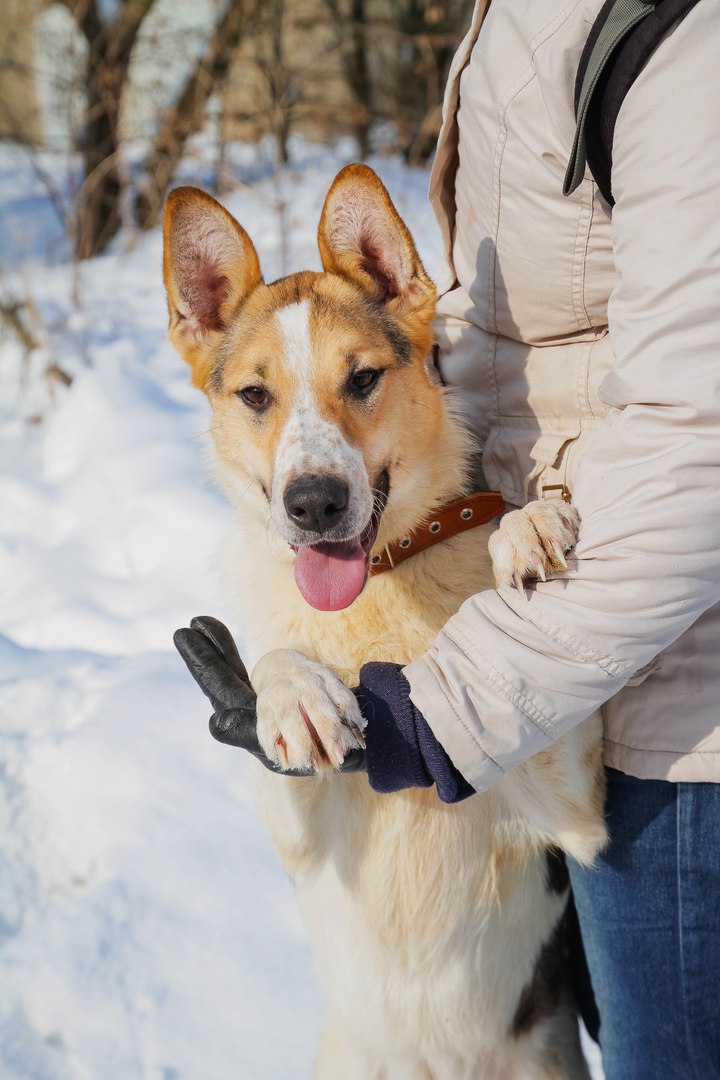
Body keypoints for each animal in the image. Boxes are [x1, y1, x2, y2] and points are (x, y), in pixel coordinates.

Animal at [162, 164, 608, 1075]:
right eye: (255, 394)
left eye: (362, 378)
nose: (313, 503)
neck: (379, 586)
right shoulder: (301, 836)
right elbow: (270, 676)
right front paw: (295, 694)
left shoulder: (574, 815)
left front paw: (524, 524)